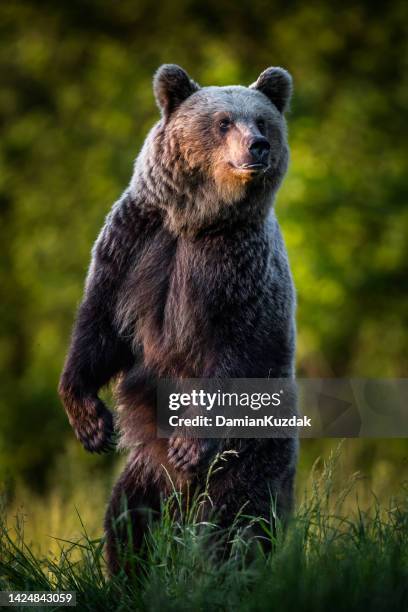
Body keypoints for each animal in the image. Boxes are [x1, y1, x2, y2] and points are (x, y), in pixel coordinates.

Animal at [59, 63, 298, 572]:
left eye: (262, 121)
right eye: (223, 122)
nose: (257, 145)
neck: (197, 221)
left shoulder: (235, 272)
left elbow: (234, 351)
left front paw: (190, 439)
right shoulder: (134, 245)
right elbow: (99, 327)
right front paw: (91, 423)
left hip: (251, 451)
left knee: (236, 521)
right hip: (147, 470)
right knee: (129, 518)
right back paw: (131, 570)